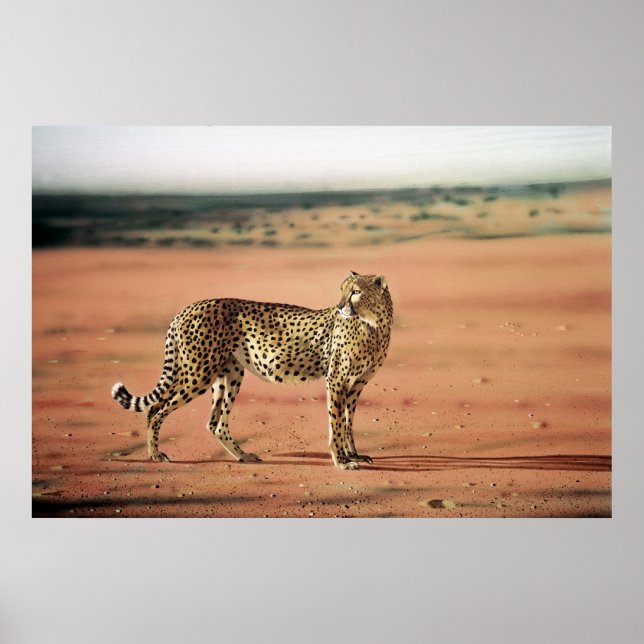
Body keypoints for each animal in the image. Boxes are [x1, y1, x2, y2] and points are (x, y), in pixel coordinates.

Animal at [111, 271, 393, 470]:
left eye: (355, 292)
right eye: (342, 290)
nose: (340, 306)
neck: (374, 325)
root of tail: (189, 307)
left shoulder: (356, 385)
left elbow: (347, 422)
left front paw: (354, 455)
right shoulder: (336, 380)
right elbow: (336, 422)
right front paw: (341, 460)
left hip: (229, 374)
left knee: (215, 423)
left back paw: (243, 456)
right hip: (198, 373)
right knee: (155, 410)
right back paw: (155, 454)